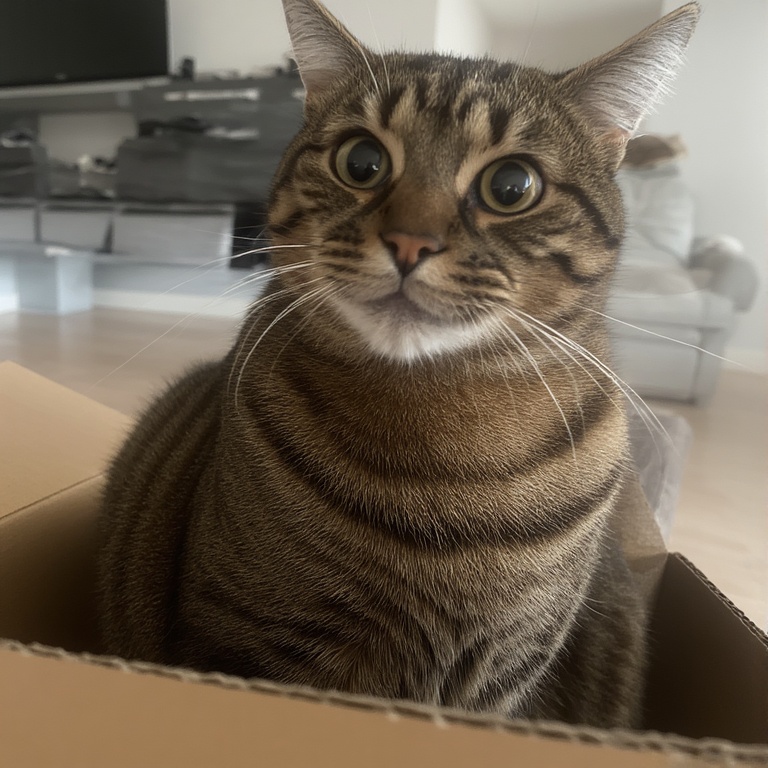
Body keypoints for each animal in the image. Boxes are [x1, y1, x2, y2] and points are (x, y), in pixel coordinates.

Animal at [97, 0, 698, 729]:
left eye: (511, 185)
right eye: (362, 161)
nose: (410, 241)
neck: (448, 451)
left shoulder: (504, 682)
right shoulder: (241, 645)